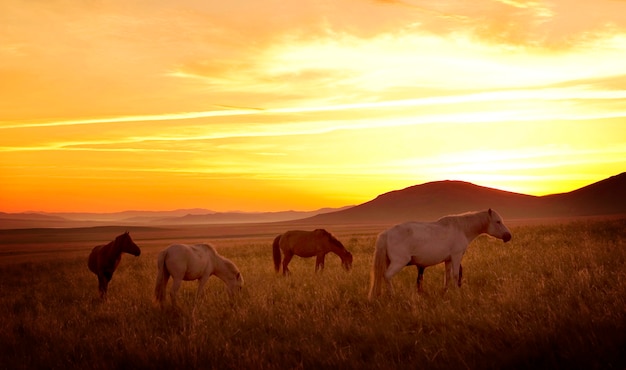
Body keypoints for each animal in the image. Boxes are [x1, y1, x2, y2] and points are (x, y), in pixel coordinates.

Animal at [368, 210, 510, 300]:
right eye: (498, 221)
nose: (508, 236)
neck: (462, 229)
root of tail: (386, 233)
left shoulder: (448, 260)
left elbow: (447, 276)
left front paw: (445, 291)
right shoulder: (456, 256)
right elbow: (455, 275)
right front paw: (457, 293)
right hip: (399, 262)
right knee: (387, 276)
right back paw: (392, 295)